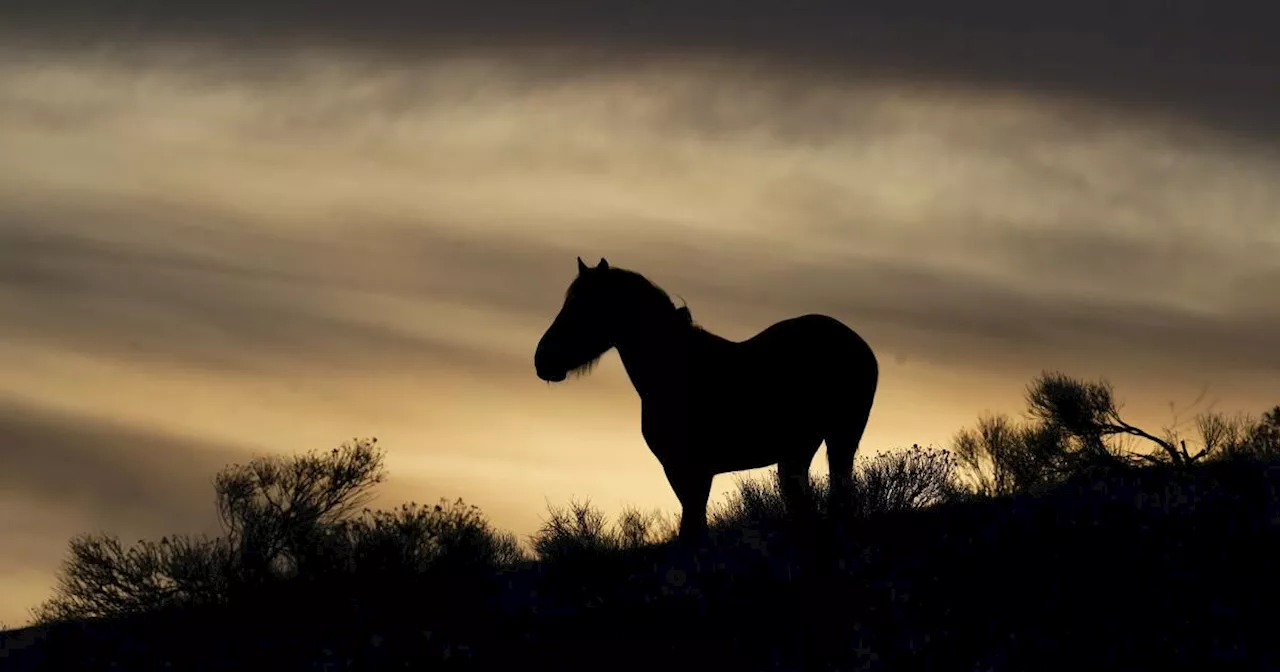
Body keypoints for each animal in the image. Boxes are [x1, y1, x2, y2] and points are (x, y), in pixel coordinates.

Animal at [532, 257, 880, 545]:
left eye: (582, 307)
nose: (542, 360)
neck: (678, 371)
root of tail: (857, 343)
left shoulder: (689, 470)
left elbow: (692, 530)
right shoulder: (685, 472)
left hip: (840, 438)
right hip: (799, 449)